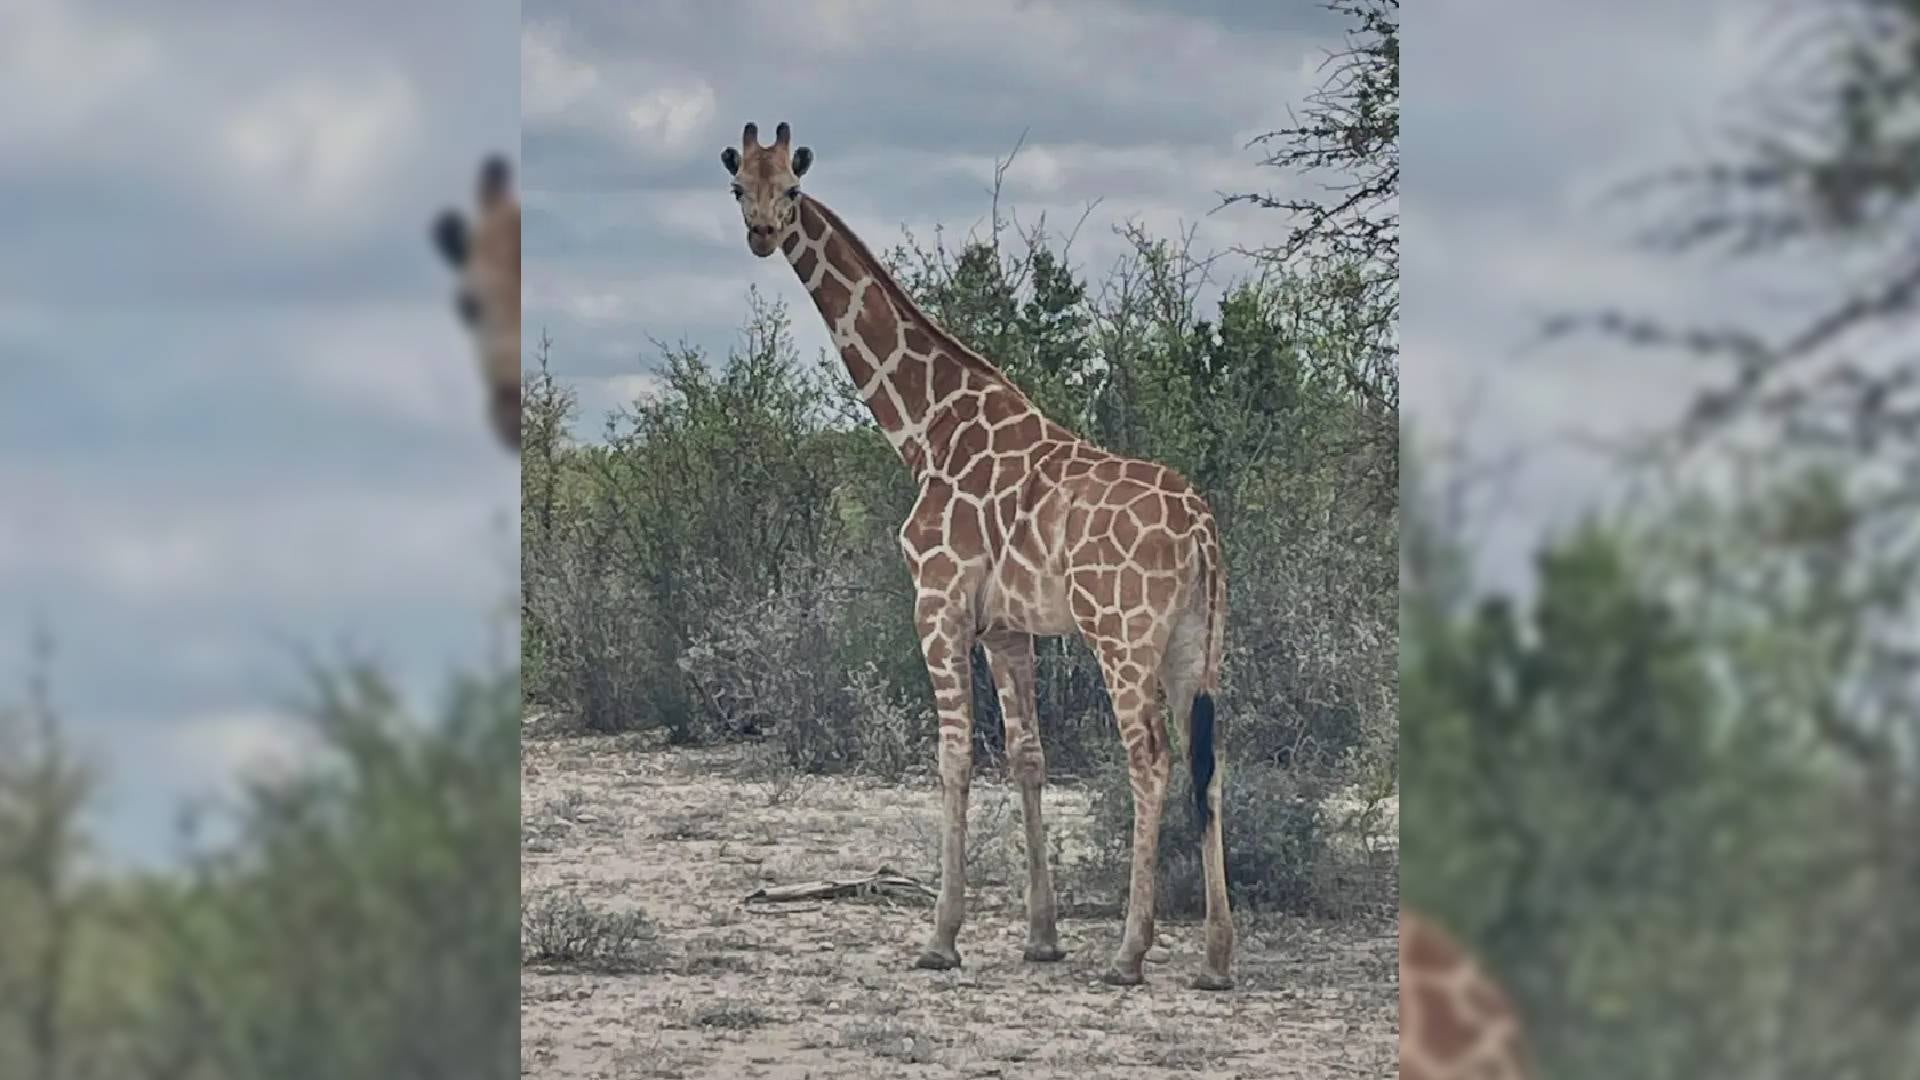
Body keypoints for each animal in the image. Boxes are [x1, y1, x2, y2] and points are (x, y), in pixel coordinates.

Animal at [722, 121, 1233, 989]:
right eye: (738, 187)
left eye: (791, 187)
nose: (761, 233)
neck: (925, 428)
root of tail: (1201, 528)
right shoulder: (1007, 627)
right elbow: (1028, 757)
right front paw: (1041, 935)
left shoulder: (938, 602)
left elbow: (954, 756)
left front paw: (940, 937)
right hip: (1198, 642)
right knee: (1210, 760)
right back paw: (1216, 958)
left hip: (1123, 635)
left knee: (1151, 759)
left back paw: (1130, 953)